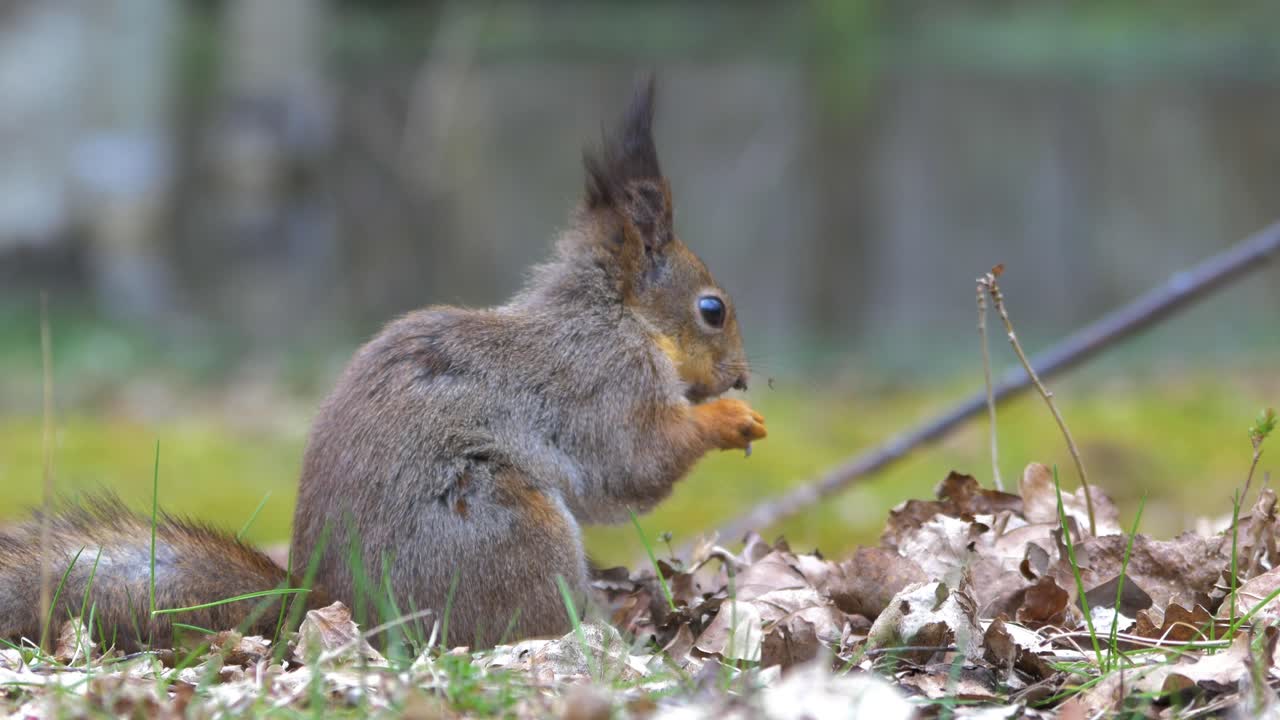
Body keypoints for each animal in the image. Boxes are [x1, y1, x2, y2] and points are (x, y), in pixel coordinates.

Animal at [1, 77, 765, 651]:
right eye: (712, 309)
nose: (740, 376)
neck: (616, 314)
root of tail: (325, 607)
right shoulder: (603, 382)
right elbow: (634, 463)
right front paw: (732, 419)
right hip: (506, 530)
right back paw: (607, 634)